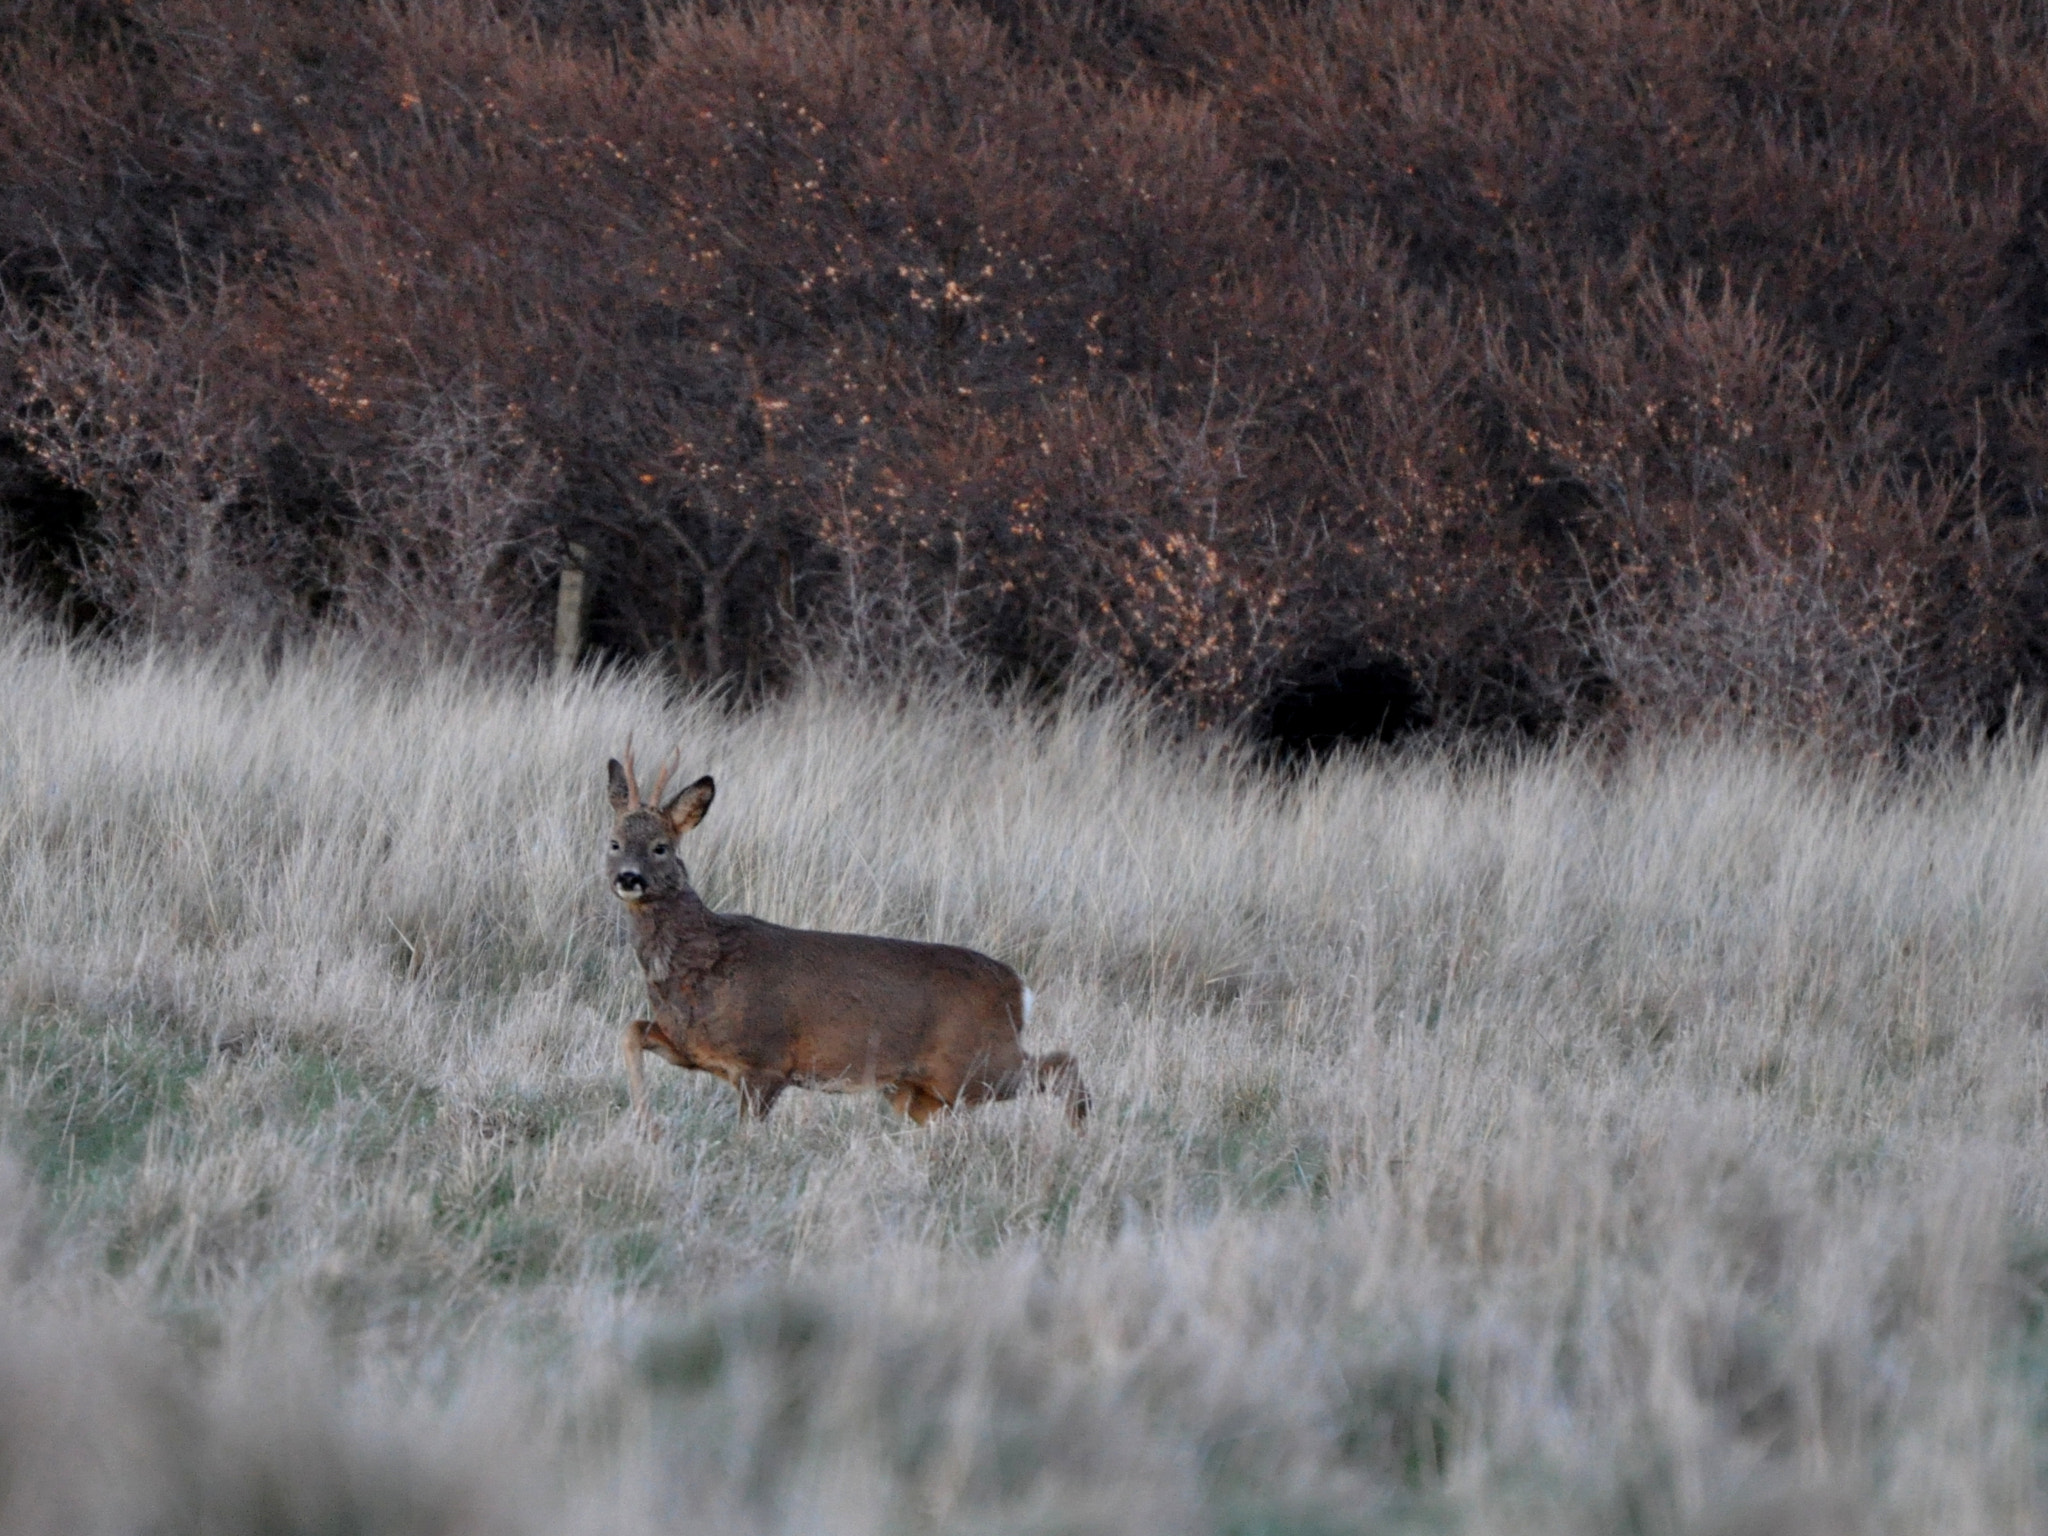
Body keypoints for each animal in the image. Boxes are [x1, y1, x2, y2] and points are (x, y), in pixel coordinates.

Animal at [605, 745, 1089, 1133]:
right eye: (612, 842)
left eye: (661, 846)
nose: (629, 878)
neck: (701, 960)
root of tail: (1019, 990)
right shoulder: (689, 1048)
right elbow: (629, 1031)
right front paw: (647, 1124)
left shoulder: (765, 1061)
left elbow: (747, 1134)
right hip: (921, 1091)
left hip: (976, 1062)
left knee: (1063, 1065)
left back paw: (1076, 1140)